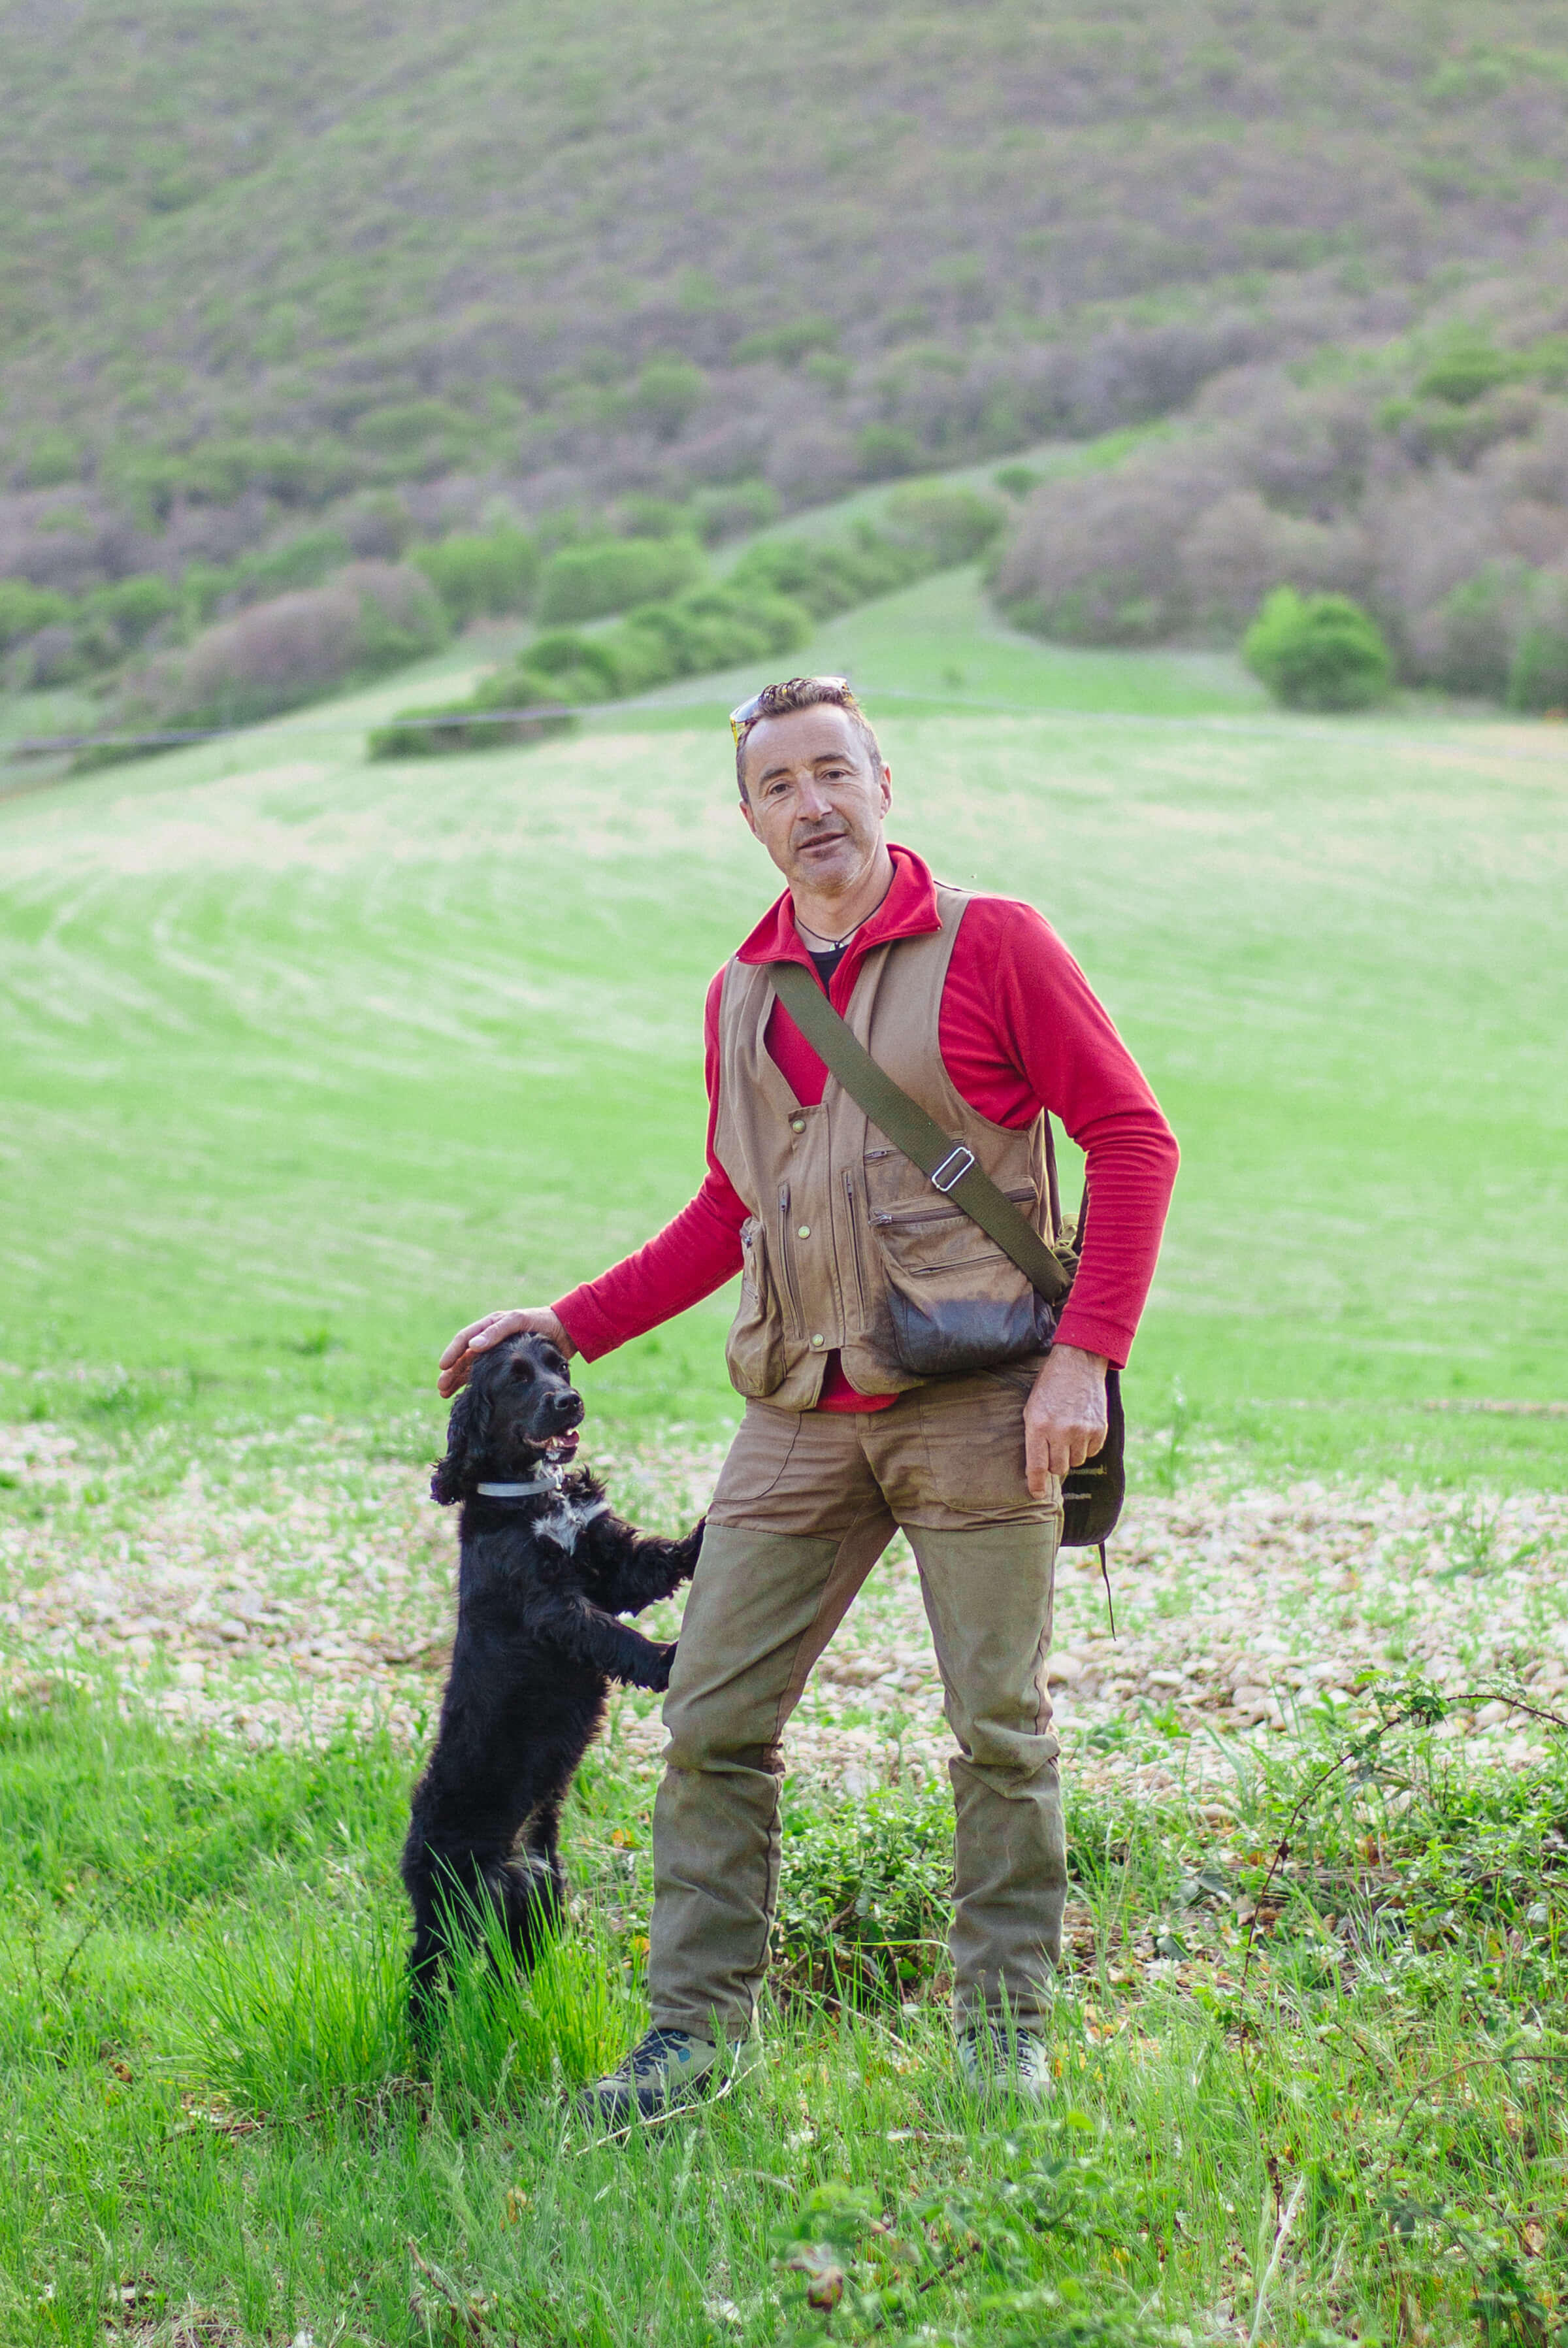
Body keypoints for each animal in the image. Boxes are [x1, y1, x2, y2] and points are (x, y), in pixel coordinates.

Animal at [401, 1333, 699, 2028]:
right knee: (428, 1977)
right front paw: (669, 1658)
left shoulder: (610, 1564)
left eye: (558, 1365)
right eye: (516, 1378)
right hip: (452, 1907)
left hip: (536, 1897)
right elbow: (613, 1637)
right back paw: (424, 2042)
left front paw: (704, 1535)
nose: (570, 1400)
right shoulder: (551, 1605)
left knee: (505, 1971)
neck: (533, 1492)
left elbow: (657, 1558)